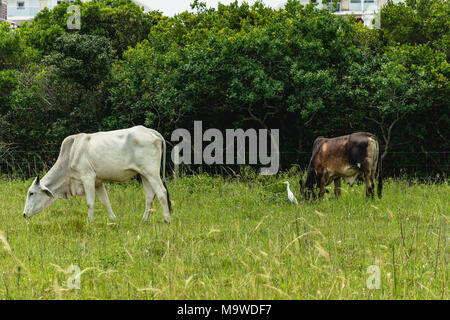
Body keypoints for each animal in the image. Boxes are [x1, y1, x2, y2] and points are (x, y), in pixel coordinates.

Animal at [22, 126, 172, 224]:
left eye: (31, 193)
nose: (24, 214)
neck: (70, 156)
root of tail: (150, 131)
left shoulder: (88, 177)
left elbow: (90, 202)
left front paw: (89, 221)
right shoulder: (98, 183)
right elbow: (106, 201)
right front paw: (113, 219)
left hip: (152, 172)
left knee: (161, 192)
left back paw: (167, 219)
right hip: (144, 174)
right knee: (149, 196)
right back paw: (143, 220)